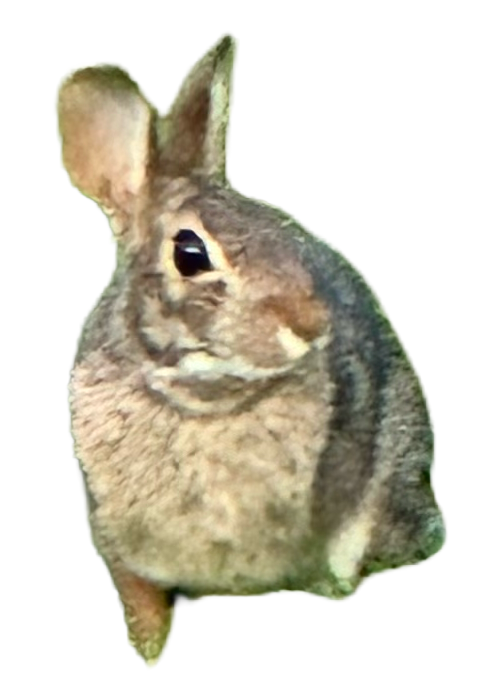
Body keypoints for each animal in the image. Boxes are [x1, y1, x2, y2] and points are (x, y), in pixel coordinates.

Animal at [56, 33, 437, 669]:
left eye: (280, 229)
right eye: (190, 254)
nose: (312, 323)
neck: (196, 398)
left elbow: (238, 608)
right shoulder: (119, 538)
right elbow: (143, 603)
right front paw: (150, 654)